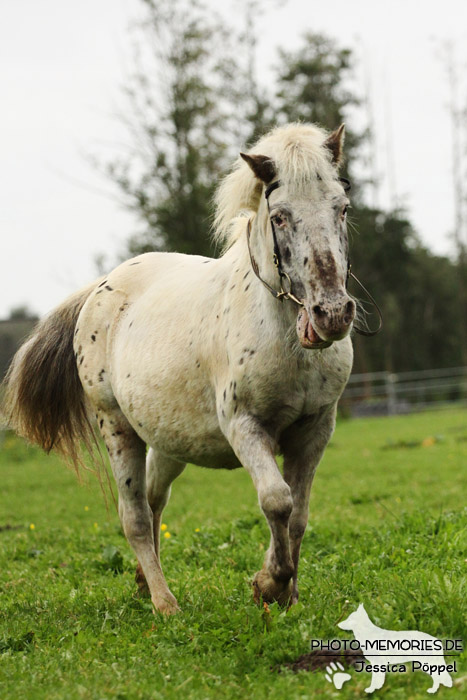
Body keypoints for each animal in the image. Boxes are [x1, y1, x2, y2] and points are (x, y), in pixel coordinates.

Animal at [3, 124, 358, 612]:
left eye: (342, 208)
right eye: (281, 216)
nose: (332, 314)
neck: (285, 339)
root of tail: (100, 287)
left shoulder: (315, 431)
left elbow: (299, 515)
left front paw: (287, 595)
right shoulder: (245, 427)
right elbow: (276, 501)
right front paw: (269, 584)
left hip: (168, 441)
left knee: (155, 499)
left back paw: (141, 581)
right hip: (117, 428)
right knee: (134, 514)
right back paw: (163, 602)